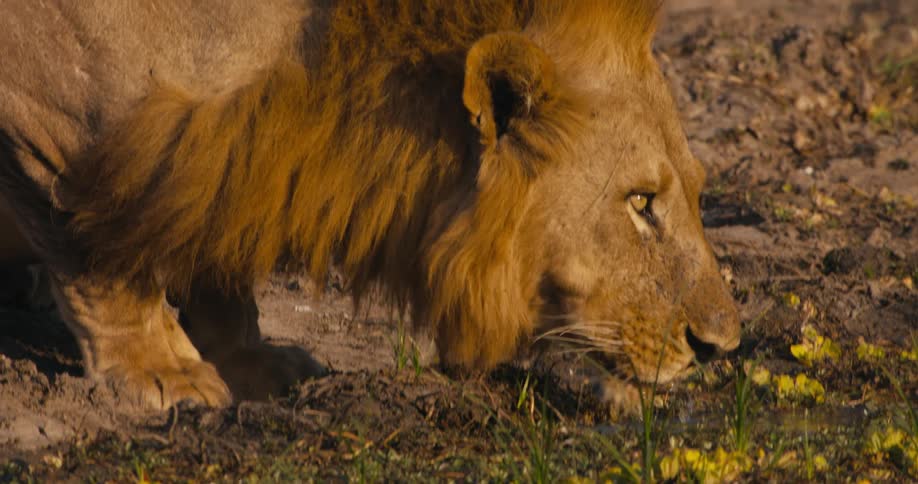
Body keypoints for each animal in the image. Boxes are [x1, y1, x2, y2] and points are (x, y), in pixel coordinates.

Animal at [0, 0, 740, 410]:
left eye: (697, 190)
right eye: (640, 202)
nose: (722, 348)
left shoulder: (225, 154)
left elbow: (220, 256)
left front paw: (249, 359)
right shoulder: (47, 134)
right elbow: (102, 263)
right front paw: (164, 371)